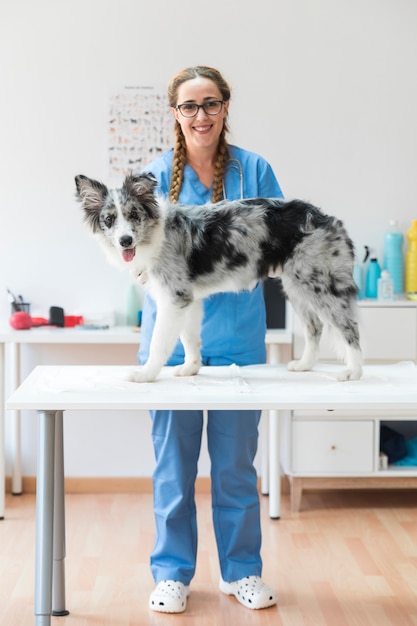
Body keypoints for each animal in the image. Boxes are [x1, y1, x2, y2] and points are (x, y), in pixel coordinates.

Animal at [76, 173, 362, 382]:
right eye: (109, 219)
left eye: (134, 215)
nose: (125, 241)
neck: (155, 236)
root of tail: (330, 220)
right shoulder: (188, 299)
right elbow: (189, 338)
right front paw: (191, 368)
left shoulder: (174, 299)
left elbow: (159, 342)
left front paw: (146, 374)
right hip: (297, 287)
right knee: (315, 328)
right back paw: (305, 365)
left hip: (321, 286)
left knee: (349, 328)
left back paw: (354, 371)